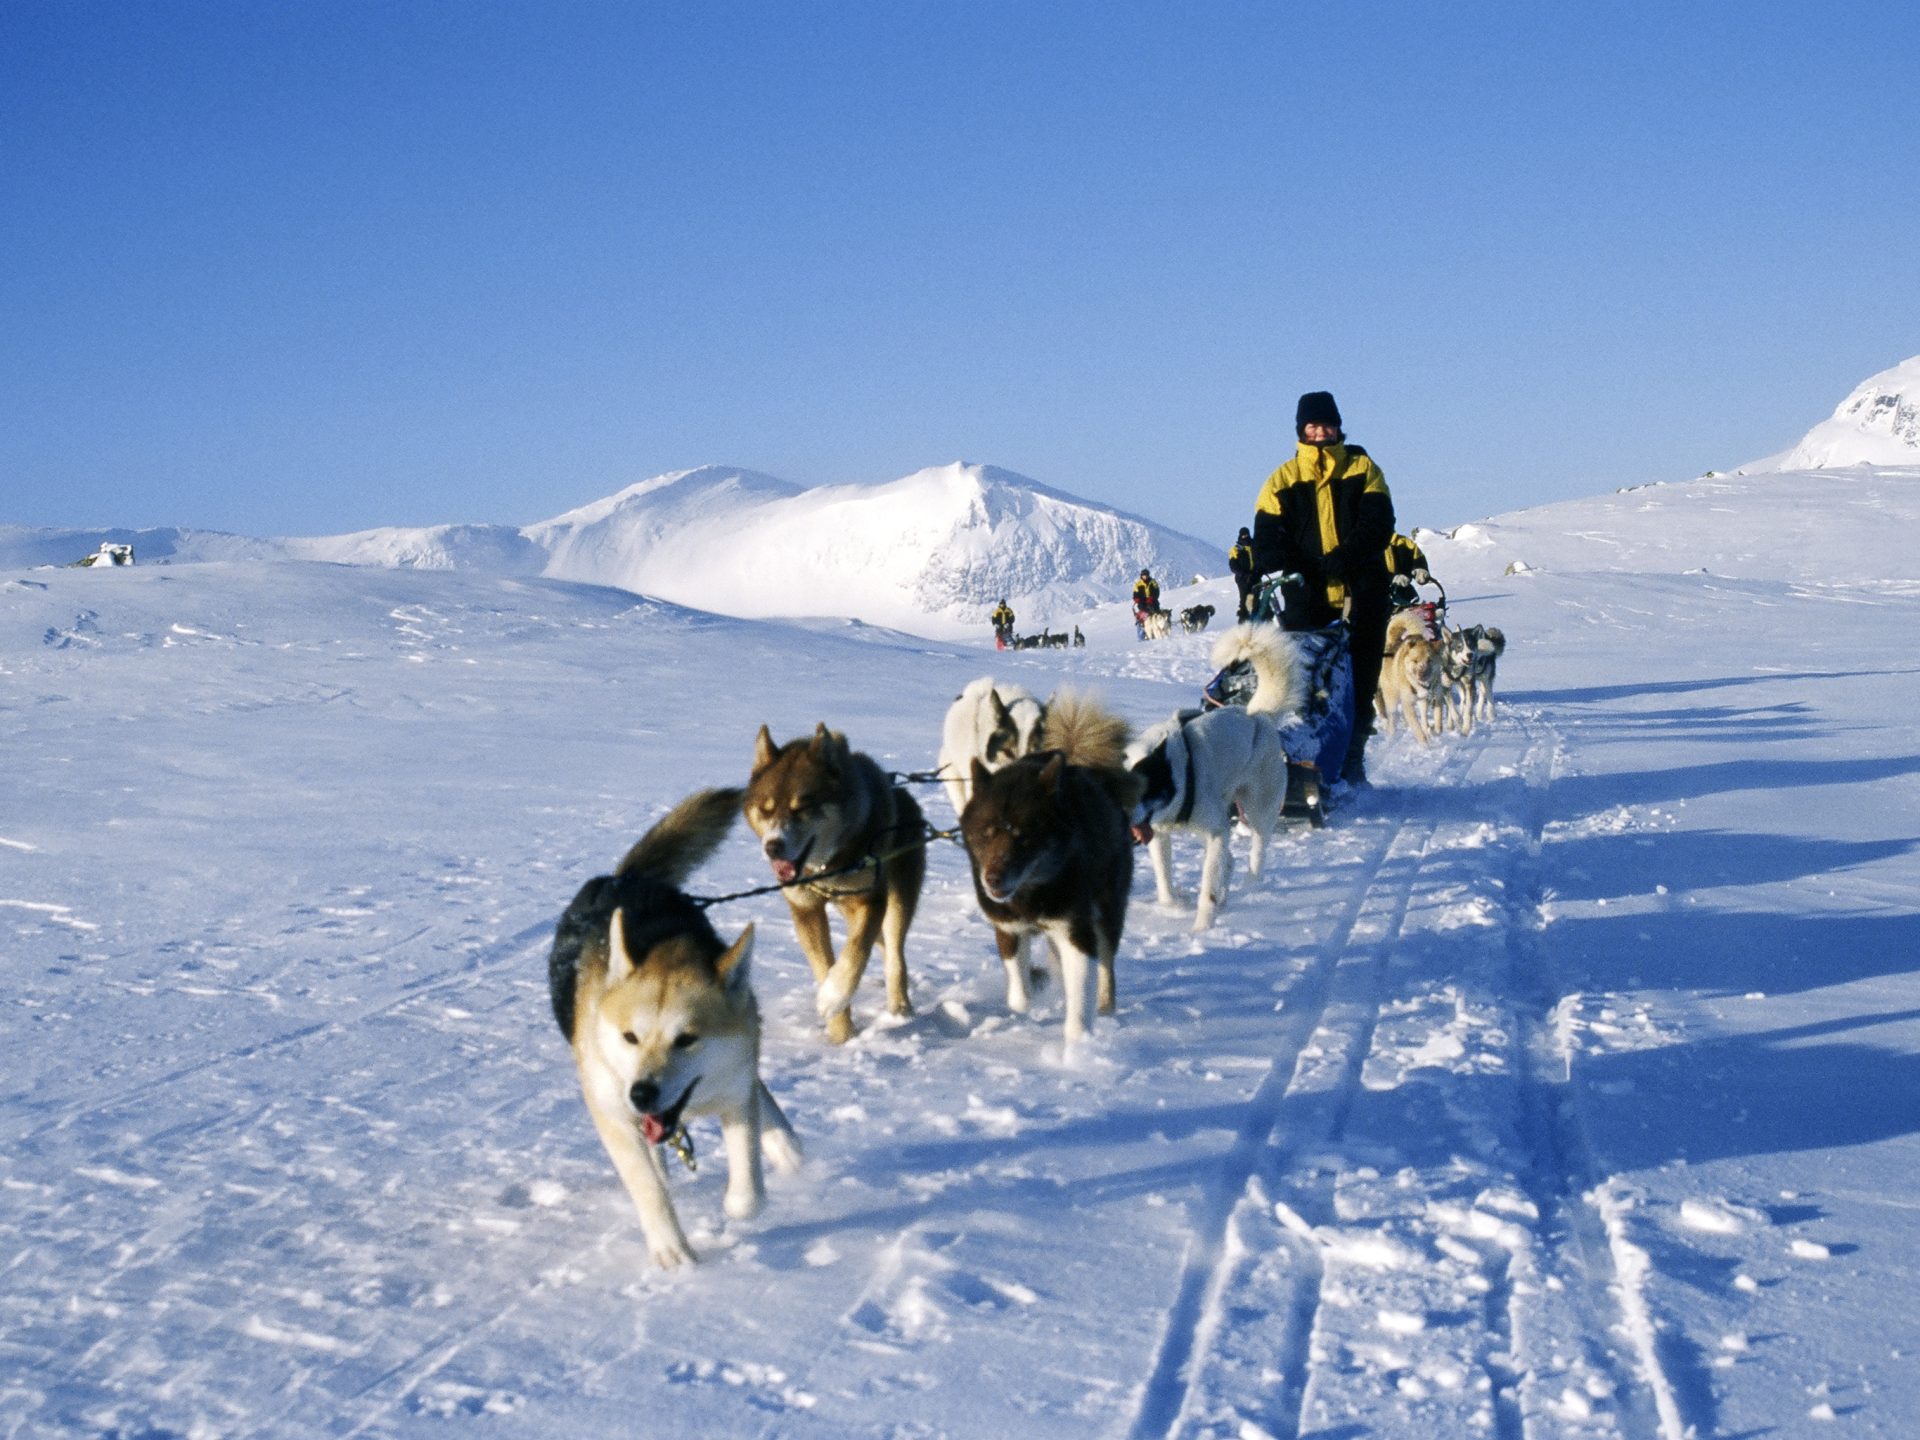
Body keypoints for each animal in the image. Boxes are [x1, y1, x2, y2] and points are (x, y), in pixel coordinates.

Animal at [549, 791, 802, 1274]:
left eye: (686, 1039)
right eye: (629, 1037)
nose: (642, 1093)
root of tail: (625, 879)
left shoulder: (734, 1091)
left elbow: (749, 1190)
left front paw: (741, 1199)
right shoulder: (615, 1114)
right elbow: (649, 1186)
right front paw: (671, 1247)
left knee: (760, 1094)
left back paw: (786, 1144)